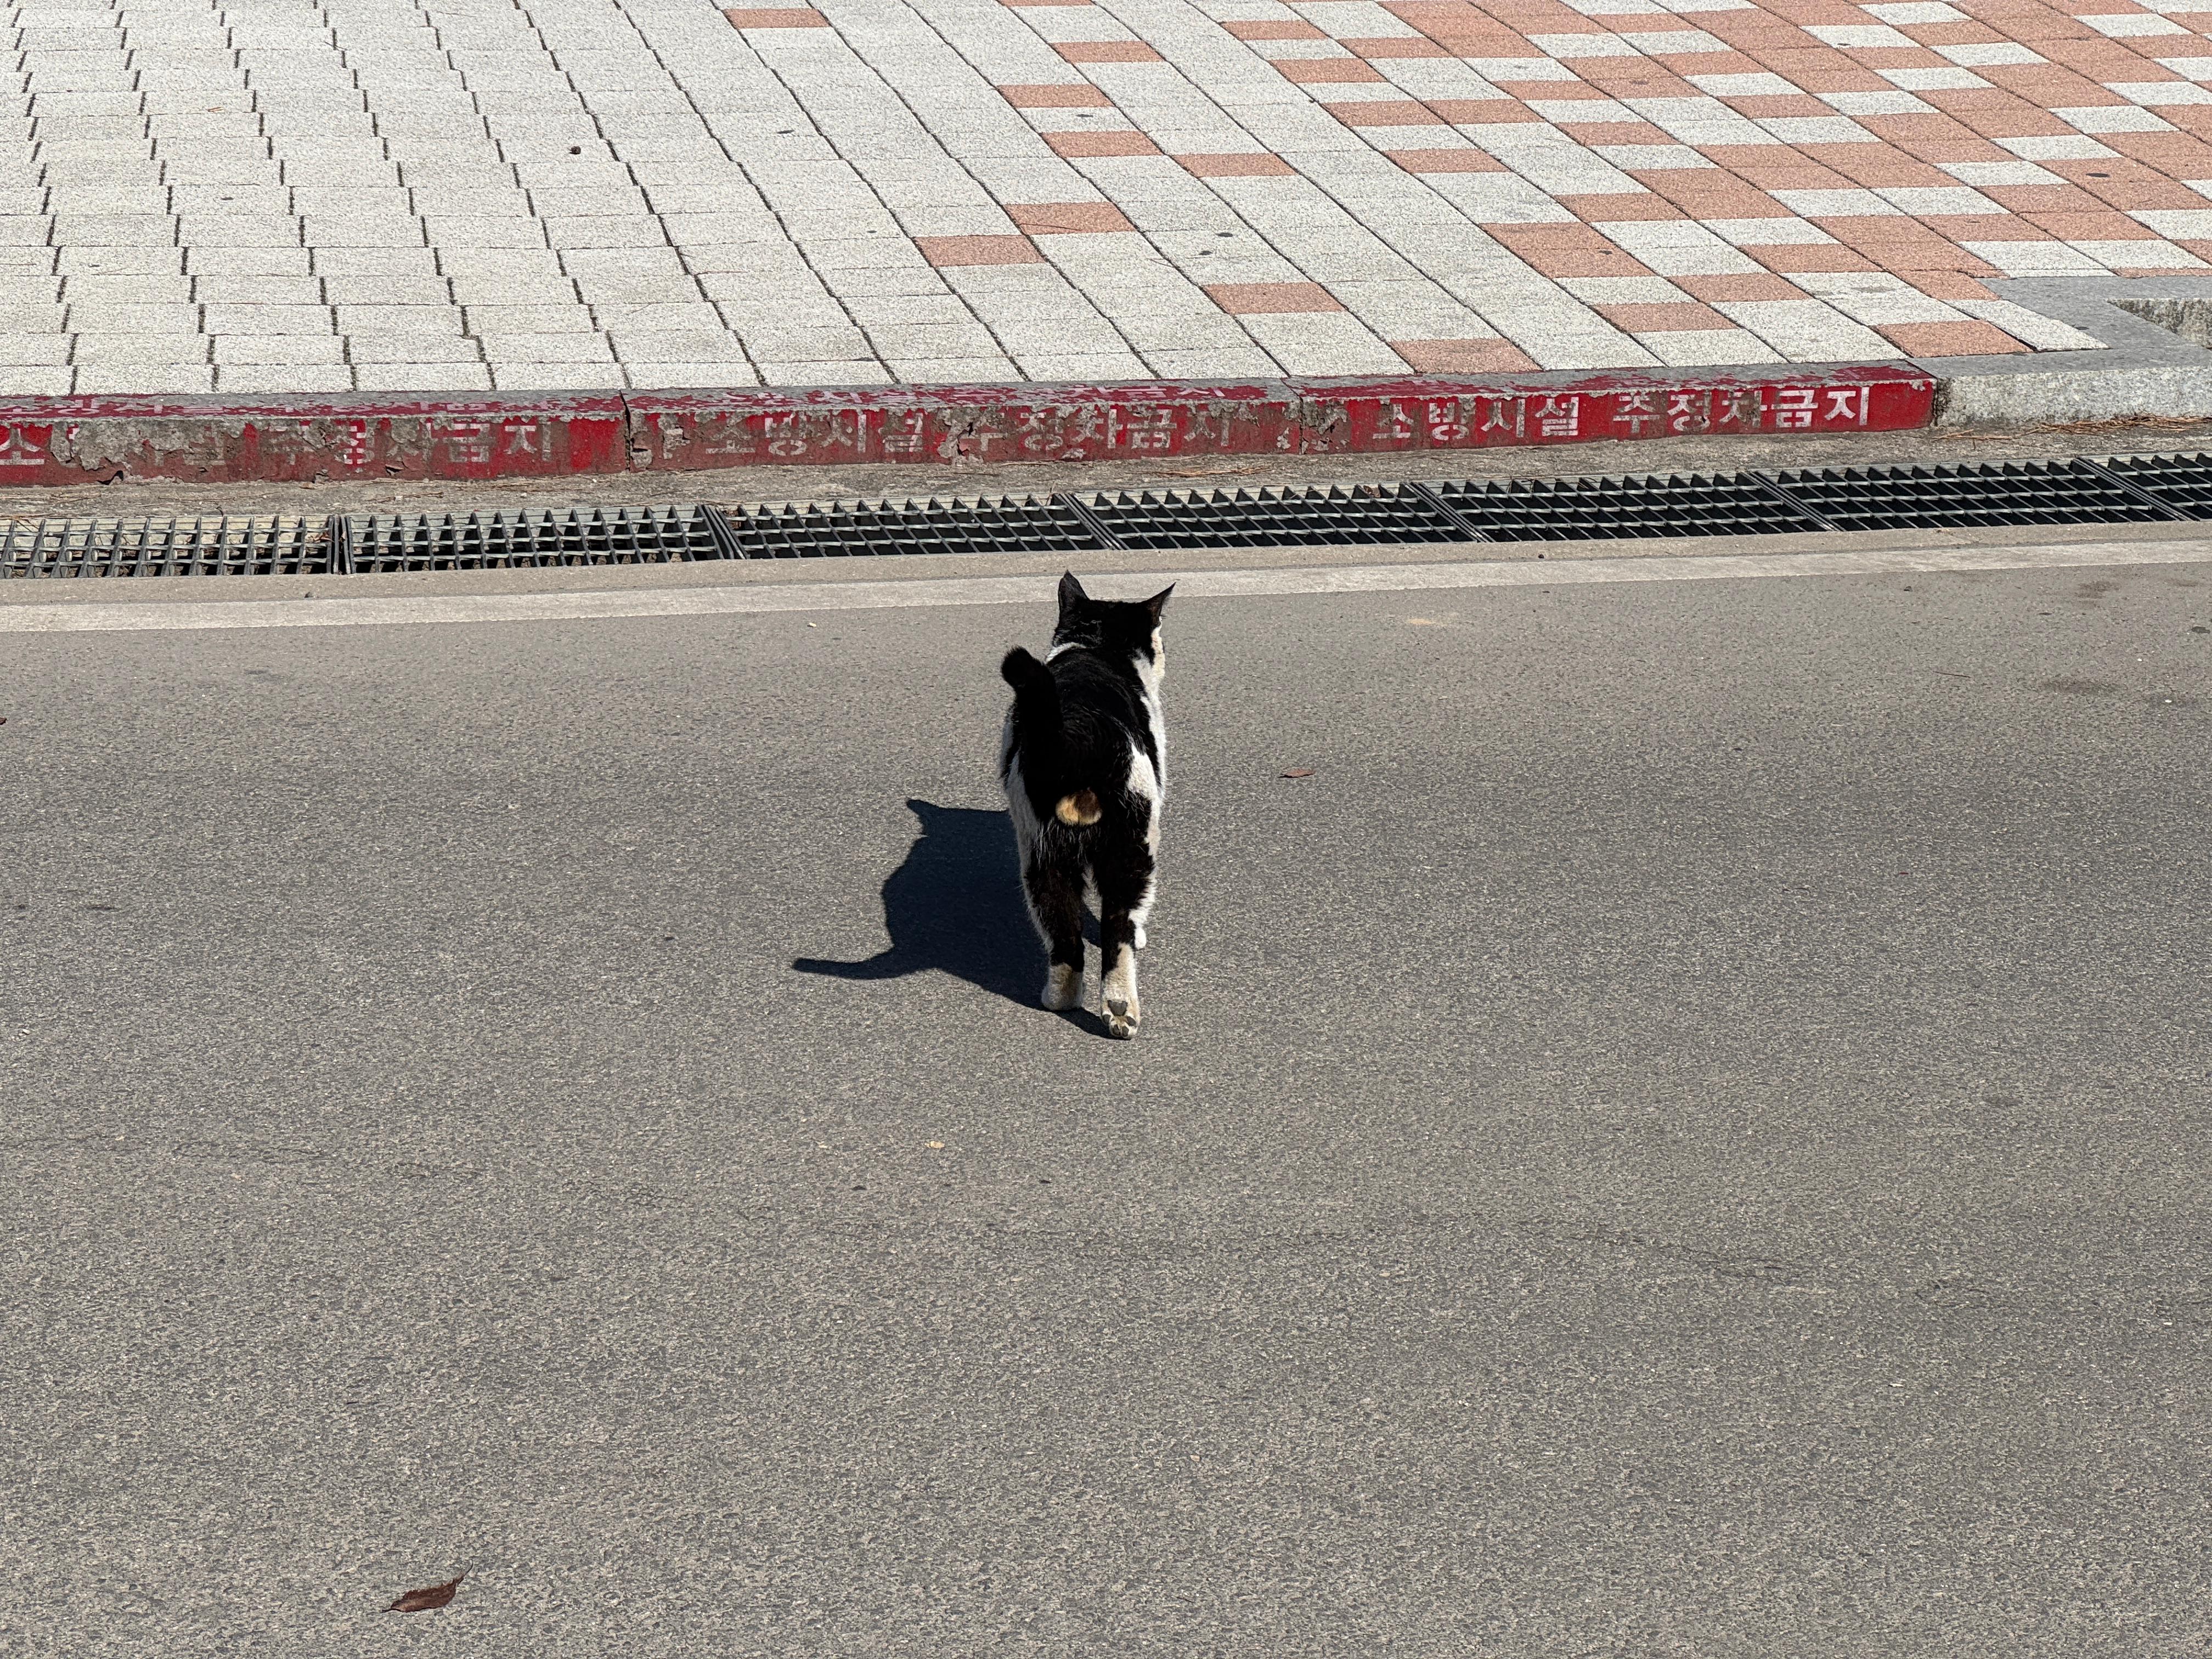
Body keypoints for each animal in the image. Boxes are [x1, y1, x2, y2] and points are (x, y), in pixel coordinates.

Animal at [999, 573, 1173, 1039]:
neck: (1095, 645)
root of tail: (1079, 731)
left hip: (1041, 856)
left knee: (1064, 935)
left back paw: (1062, 1000)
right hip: (1135, 844)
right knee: (1118, 930)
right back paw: (1121, 1009)